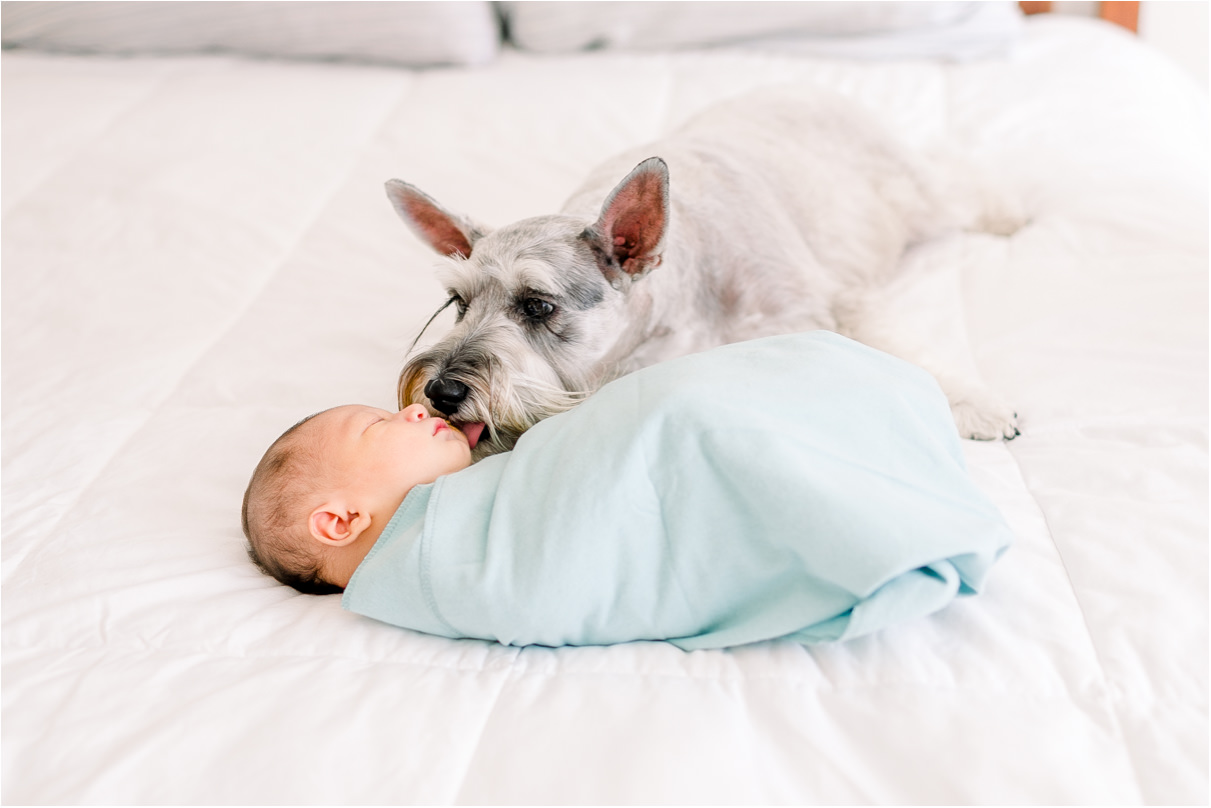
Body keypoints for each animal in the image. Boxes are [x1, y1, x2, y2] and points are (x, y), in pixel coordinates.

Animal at [387, 87, 1022, 460]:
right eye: (459, 303)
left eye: (538, 305)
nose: (442, 391)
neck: (685, 295)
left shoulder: (831, 303)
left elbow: (899, 350)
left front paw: (975, 404)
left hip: (919, 194)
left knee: (963, 186)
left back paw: (1018, 207)